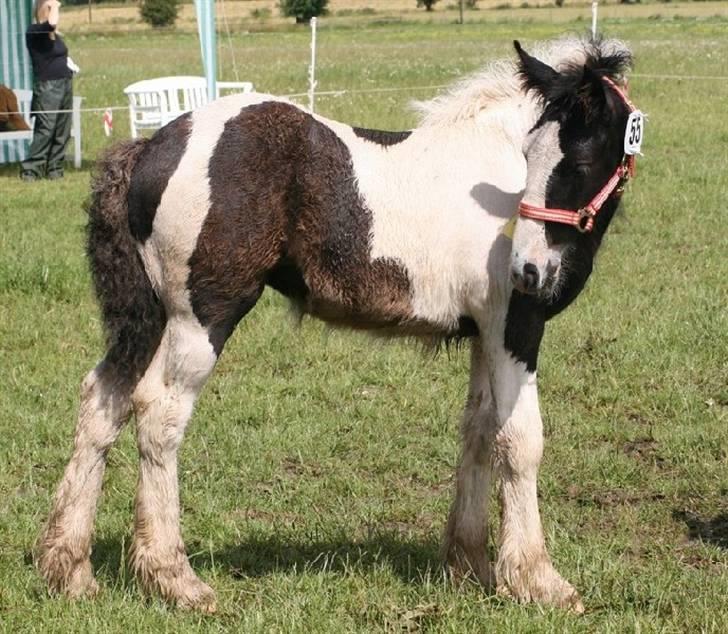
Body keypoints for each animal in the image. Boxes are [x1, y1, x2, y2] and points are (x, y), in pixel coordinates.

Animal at [37, 37, 636, 608]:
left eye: (577, 163)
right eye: (530, 155)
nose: (529, 271)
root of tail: (150, 148)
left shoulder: (482, 334)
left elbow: (480, 431)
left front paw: (470, 566)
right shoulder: (515, 327)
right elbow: (520, 440)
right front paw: (539, 580)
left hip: (146, 316)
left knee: (102, 401)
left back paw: (69, 569)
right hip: (200, 317)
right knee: (158, 413)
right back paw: (174, 579)